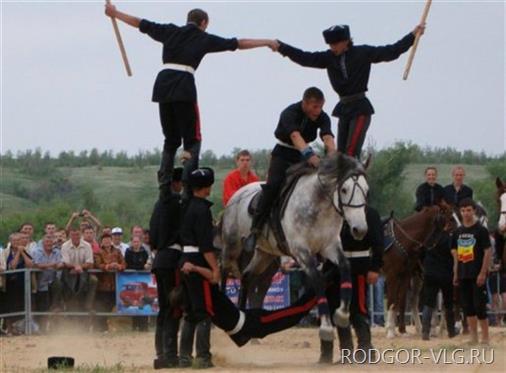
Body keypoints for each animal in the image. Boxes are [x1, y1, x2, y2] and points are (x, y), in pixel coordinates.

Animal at [220, 153, 368, 338]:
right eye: (344, 190)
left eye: (367, 190)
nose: (360, 229)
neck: (318, 205)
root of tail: (237, 195)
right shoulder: (301, 251)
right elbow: (318, 280)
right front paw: (326, 326)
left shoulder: (330, 245)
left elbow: (345, 267)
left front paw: (342, 314)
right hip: (232, 245)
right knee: (223, 270)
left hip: (265, 253)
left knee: (247, 276)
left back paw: (241, 319)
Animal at [384, 203, 454, 338]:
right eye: (450, 218)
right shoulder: (392, 275)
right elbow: (392, 300)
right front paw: (390, 331)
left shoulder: (404, 275)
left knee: (412, 300)